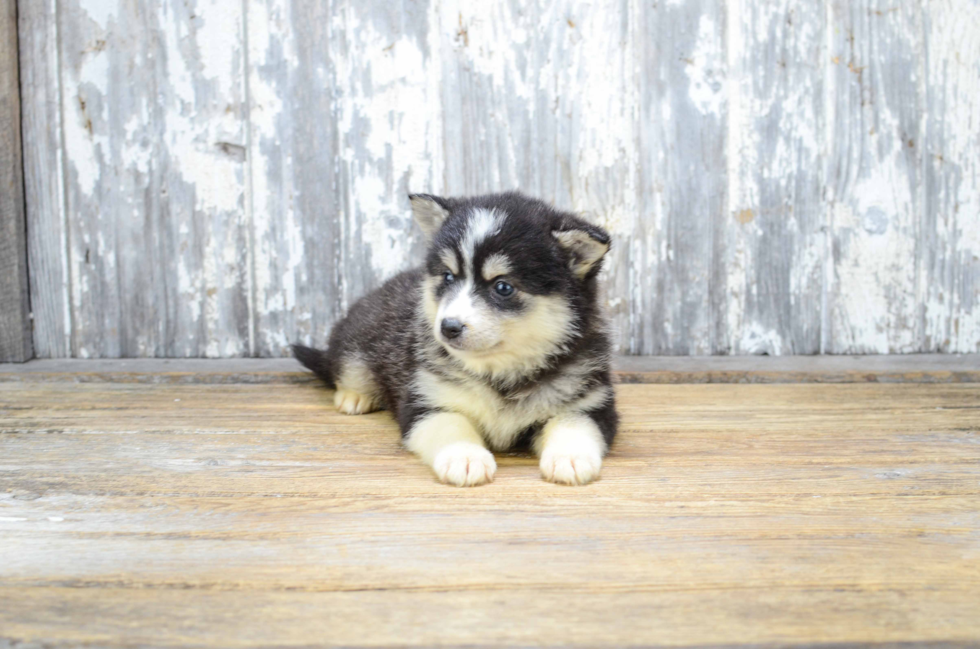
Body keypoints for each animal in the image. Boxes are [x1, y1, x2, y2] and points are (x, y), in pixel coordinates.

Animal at [290, 190, 616, 484]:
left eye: (503, 287)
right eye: (448, 276)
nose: (448, 327)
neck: (500, 374)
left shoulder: (589, 404)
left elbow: (572, 425)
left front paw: (570, 457)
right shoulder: (427, 402)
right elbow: (452, 426)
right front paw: (465, 457)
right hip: (358, 339)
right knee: (347, 366)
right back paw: (355, 395)